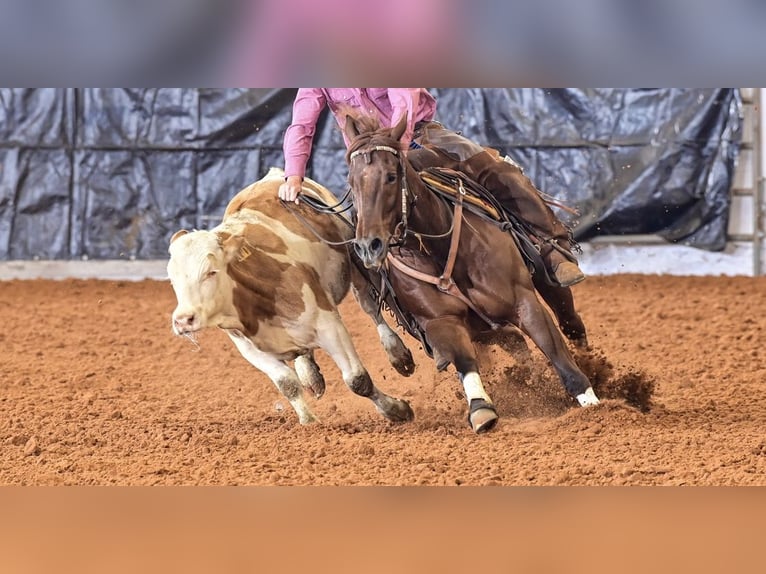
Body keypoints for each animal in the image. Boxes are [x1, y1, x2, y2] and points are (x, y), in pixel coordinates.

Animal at [342, 114, 599, 433]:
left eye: (391, 176)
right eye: (351, 182)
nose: (369, 245)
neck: (437, 248)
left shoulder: (524, 302)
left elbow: (557, 355)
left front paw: (594, 405)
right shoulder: (440, 321)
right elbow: (464, 361)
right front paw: (481, 408)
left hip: (545, 274)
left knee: (568, 319)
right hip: (483, 329)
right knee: (514, 341)